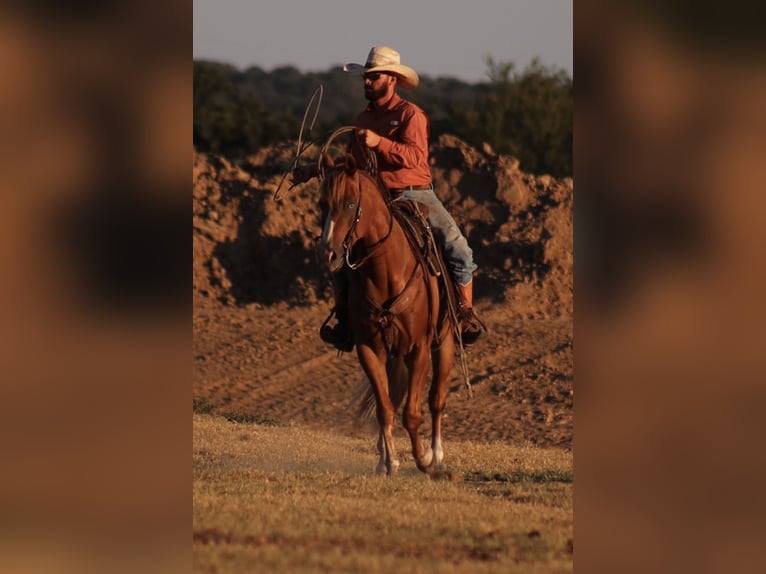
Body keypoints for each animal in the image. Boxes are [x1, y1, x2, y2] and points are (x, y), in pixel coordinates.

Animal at [316, 151, 458, 476]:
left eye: (350, 203)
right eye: (322, 204)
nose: (328, 254)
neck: (388, 271)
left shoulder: (419, 349)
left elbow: (413, 413)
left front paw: (424, 460)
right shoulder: (370, 349)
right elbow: (385, 408)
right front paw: (389, 461)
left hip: (443, 343)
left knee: (437, 399)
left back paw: (437, 455)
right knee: (394, 396)